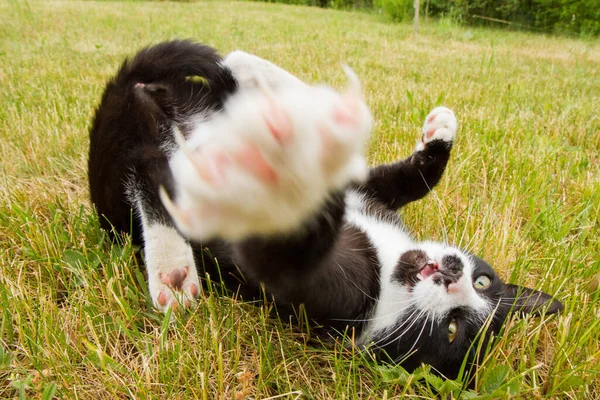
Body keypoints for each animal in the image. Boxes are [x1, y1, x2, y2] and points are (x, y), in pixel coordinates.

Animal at [88, 40, 564, 378]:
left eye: (453, 330)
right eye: (484, 279)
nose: (452, 276)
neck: (389, 257)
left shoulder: (328, 301)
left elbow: (285, 248)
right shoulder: (369, 191)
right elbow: (409, 178)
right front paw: (433, 130)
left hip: (129, 170)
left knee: (148, 166)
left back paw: (173, 268)